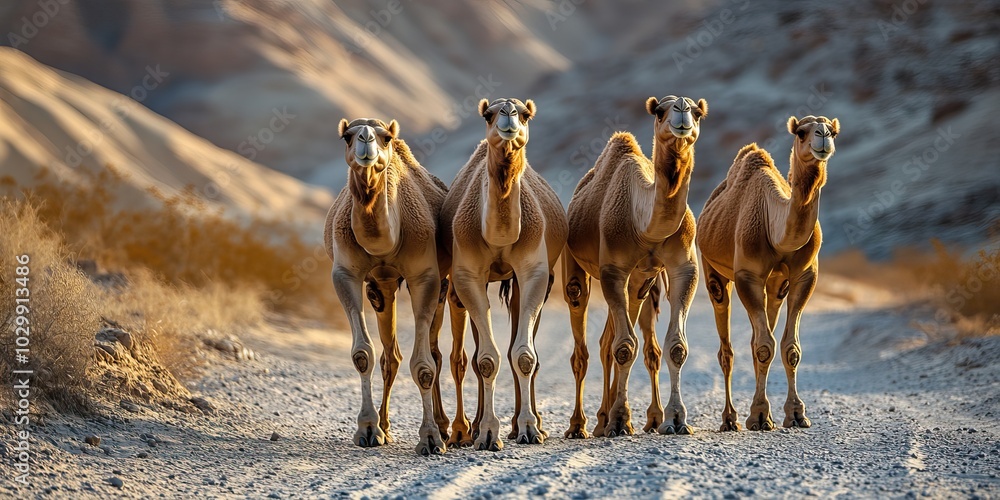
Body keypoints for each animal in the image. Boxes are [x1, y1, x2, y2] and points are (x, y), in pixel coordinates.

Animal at [324, 118, 452, 455]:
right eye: (347, 136)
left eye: (386, 138)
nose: (366, 140)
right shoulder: (346, 274)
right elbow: (363, 354)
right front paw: (368, 429)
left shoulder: (425, 276)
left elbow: (424, 365)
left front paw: (431, 438)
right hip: (383, 286)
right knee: (390, 356)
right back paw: (385, 425)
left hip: (442, 286)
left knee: (434, 353)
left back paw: (445, 427)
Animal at [440, 98, 568, 451]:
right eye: (488, 114)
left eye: (525, 114)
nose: (508, 115)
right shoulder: (467, 276)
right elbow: (486, 359)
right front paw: (486, 433)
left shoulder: (535, 272)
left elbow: (523, 356)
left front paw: (528, 429)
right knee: (476, 354)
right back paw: (468, 431)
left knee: (519, 345)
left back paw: (527, 426)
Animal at [563, 95, 706, 438]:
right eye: (660, 111)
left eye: (698, 112)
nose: (682, 110)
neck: (645, 226)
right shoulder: (612, 270)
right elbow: (624, 347)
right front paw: (618, 420)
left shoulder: (685, 268)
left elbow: (676, 346)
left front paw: (676, 419)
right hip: (577, 269)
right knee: (584, 342)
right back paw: (581, 425)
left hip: (640, 283)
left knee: (610, 340)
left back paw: (606, 420)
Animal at [697, 115, 840, 431]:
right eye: (802, 132)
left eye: (833, 131)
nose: (823, 137)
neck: (777, 230)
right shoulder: (747, 276)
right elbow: (764, 346)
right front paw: (759, 416)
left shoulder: (804, 276)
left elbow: (789, 347)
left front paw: (796, 414)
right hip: (713, 270)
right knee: (728, 348)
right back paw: (729, 419)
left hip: (775, 286)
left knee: (762, 335)